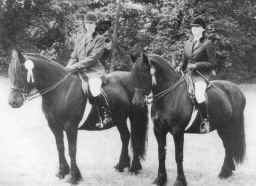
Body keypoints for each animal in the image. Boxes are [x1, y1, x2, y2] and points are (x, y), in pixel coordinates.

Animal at [7, 48, 148, 185]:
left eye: (22, 71)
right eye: (10, 73)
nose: (13, 102)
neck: (61, 91)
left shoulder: (71, 127)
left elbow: (72, 150)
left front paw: (74, 177)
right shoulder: (54, 126)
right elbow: (60, 147)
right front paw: (62, 172)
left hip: (132, 117)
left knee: (134, 138)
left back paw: (134, 168)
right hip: (120, 119)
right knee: (125, 137)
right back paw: (121, 165)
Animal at [132, 53, 246, 186]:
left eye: (143, 74)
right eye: (132, 75)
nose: (136, 103)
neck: (169, 96)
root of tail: (237, 89)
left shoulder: (178, 132)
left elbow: (178, 156)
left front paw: (180, 181)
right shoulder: (159, 130)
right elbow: (161, 154)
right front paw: (160, 179)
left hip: (229, 127)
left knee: (229, 146)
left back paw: (224, 173)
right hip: (222, 128)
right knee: (228, 146)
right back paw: (226, 172)